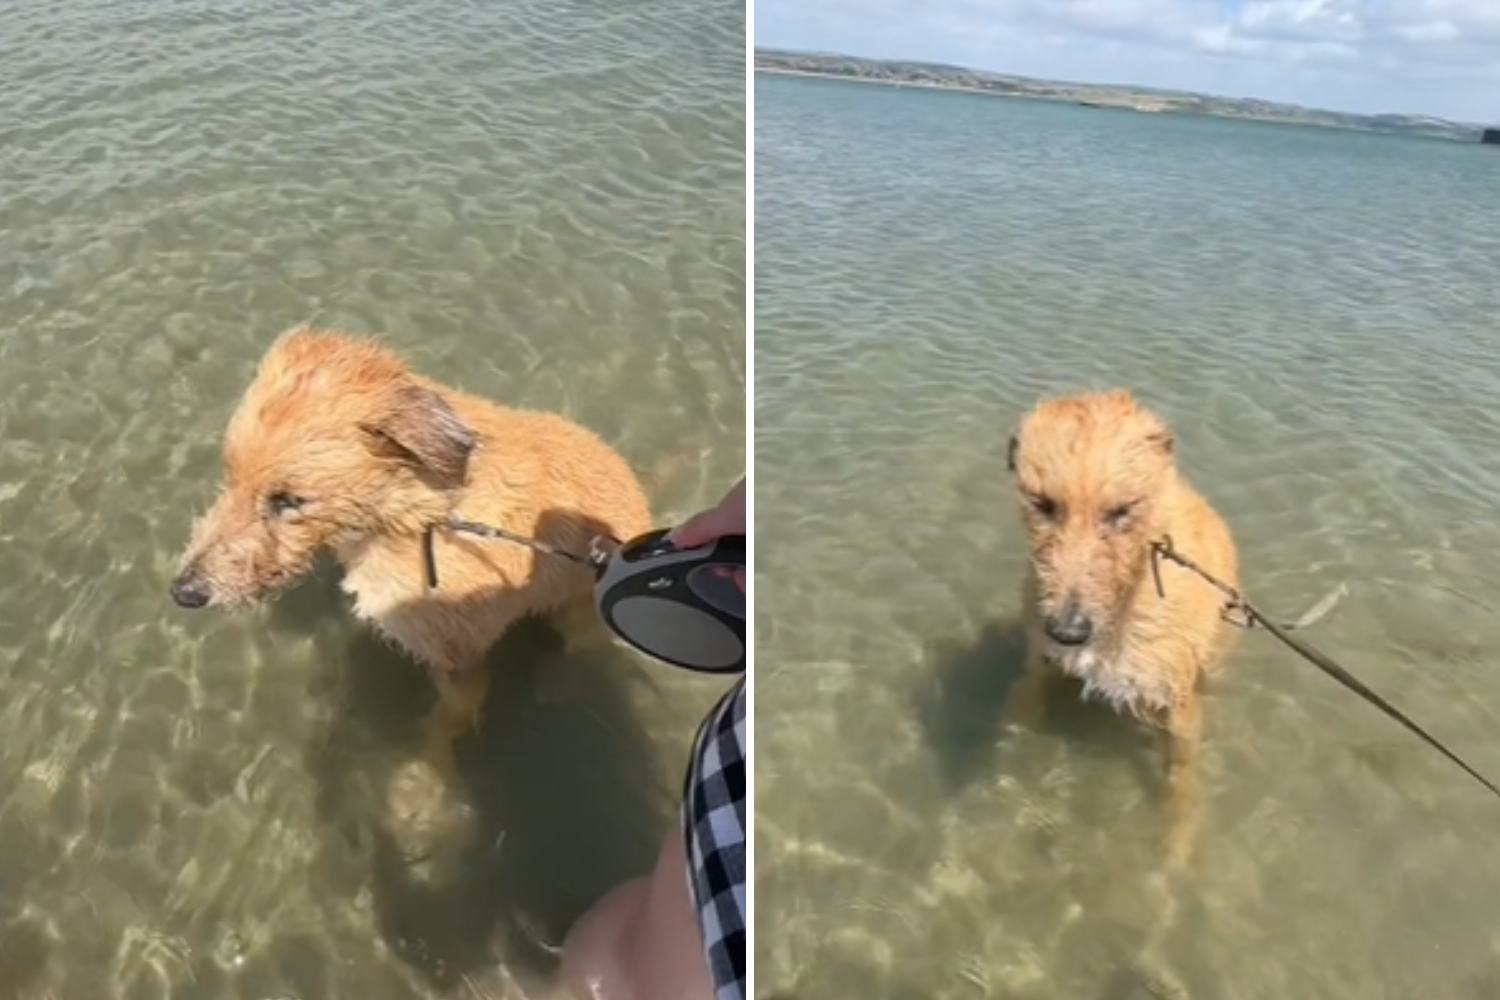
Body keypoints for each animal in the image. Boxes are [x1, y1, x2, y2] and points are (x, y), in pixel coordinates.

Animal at [170, 328, 651, 797]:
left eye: (289, 500)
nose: (184, 592)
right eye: (230, 474)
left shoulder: (459, 662)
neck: (425, 514)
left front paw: (422, 787)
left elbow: (443, 728)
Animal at [1002, 386, 1236, 863]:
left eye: (1121, 510)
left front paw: (1175, 851)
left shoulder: (1177, 707)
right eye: (1043, 504)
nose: (1068, 632)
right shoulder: (1037, 668)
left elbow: (1180, 782)